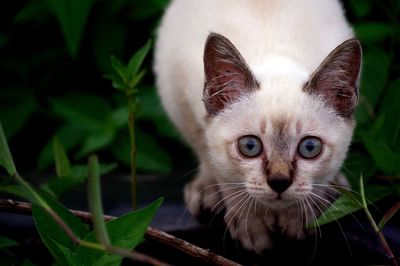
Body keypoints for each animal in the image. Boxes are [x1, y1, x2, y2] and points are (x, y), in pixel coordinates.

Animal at [155, 0, 360, 251]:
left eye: (310, 148)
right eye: (250, 146)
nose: (279, 182)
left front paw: (300, 217)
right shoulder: (182, 96)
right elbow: (219, 168)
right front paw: (251, 225)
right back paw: (206, 192)